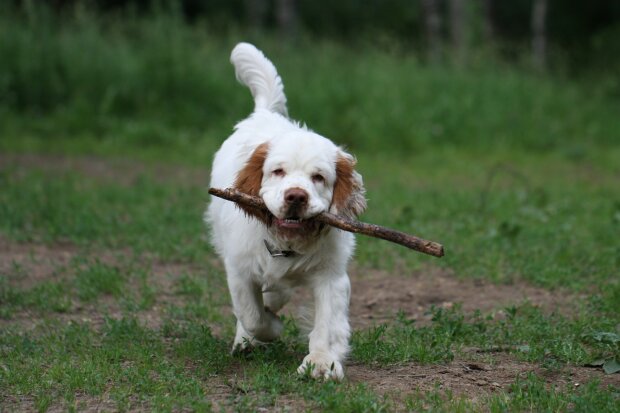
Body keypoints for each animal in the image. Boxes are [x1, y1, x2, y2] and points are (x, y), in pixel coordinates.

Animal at [206, 42, 366, 380]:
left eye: (319, 178)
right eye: (278, 171)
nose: (296, 196)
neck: (287, 243)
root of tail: (263, 112)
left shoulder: (331, 276)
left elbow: (327, 324)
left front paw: (321, 363)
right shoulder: (239, 270)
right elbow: (253, 315)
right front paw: (267, 330)